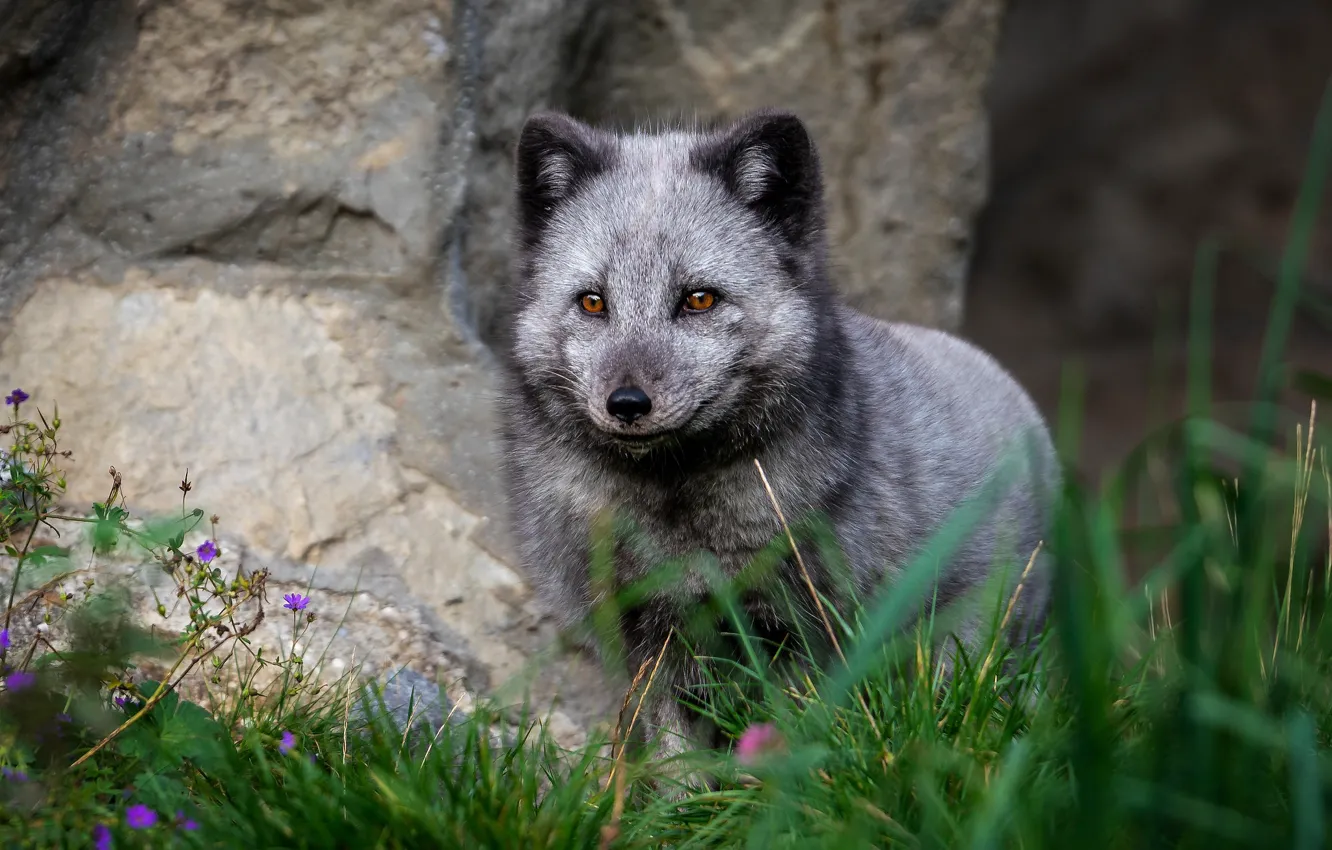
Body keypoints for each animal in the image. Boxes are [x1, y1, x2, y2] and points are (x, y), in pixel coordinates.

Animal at [496, 108, 1059, 780]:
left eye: (699, 298)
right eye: (592, 302)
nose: (627, 404)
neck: (676, 512)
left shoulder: (800, 630)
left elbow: (782, 738)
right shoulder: (647, 636)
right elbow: (675, 761)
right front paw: (684, 806)